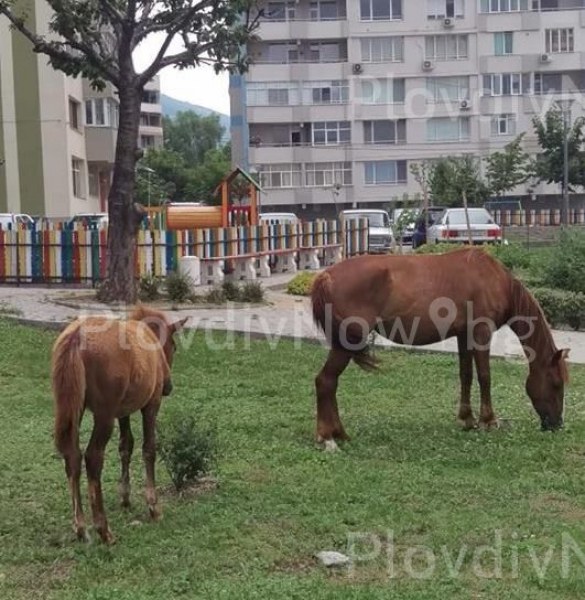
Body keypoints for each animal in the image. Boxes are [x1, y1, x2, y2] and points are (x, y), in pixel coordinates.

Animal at [52, 308, 186, 540]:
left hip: (73, 408)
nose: (168, 386)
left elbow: (126, 445)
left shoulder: (122, 411)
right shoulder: (151, 404)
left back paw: (80, 526)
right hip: (104, 415)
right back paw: (103, 529)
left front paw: (125, 496)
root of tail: (77, 337)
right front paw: (153, 506)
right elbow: (149, 448)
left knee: (73, 456)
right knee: (93, 457)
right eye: (174, 346)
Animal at [312, 248, 568, 450]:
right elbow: (485, 377)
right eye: (556, 384)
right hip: (346, 344)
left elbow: (466, 375)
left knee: (329, 383)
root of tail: (325, 275)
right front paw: (488, 421)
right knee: (326, 381)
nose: (557, 424)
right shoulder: (481, 333)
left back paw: (338, 434)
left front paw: (467, 419)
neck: (494, 279)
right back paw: (328, 438)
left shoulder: (464, 335)